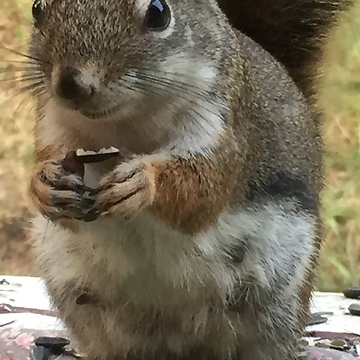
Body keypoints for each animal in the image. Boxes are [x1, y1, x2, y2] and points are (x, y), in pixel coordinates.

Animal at [23, 0, 346, 358]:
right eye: (37, 9)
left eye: (158, 12)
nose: (70, 85)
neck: (125, 125)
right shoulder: (53, 126)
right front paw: (44, 184)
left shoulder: (225, 127)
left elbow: (203, 195)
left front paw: (142, 183)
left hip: (275, 303)